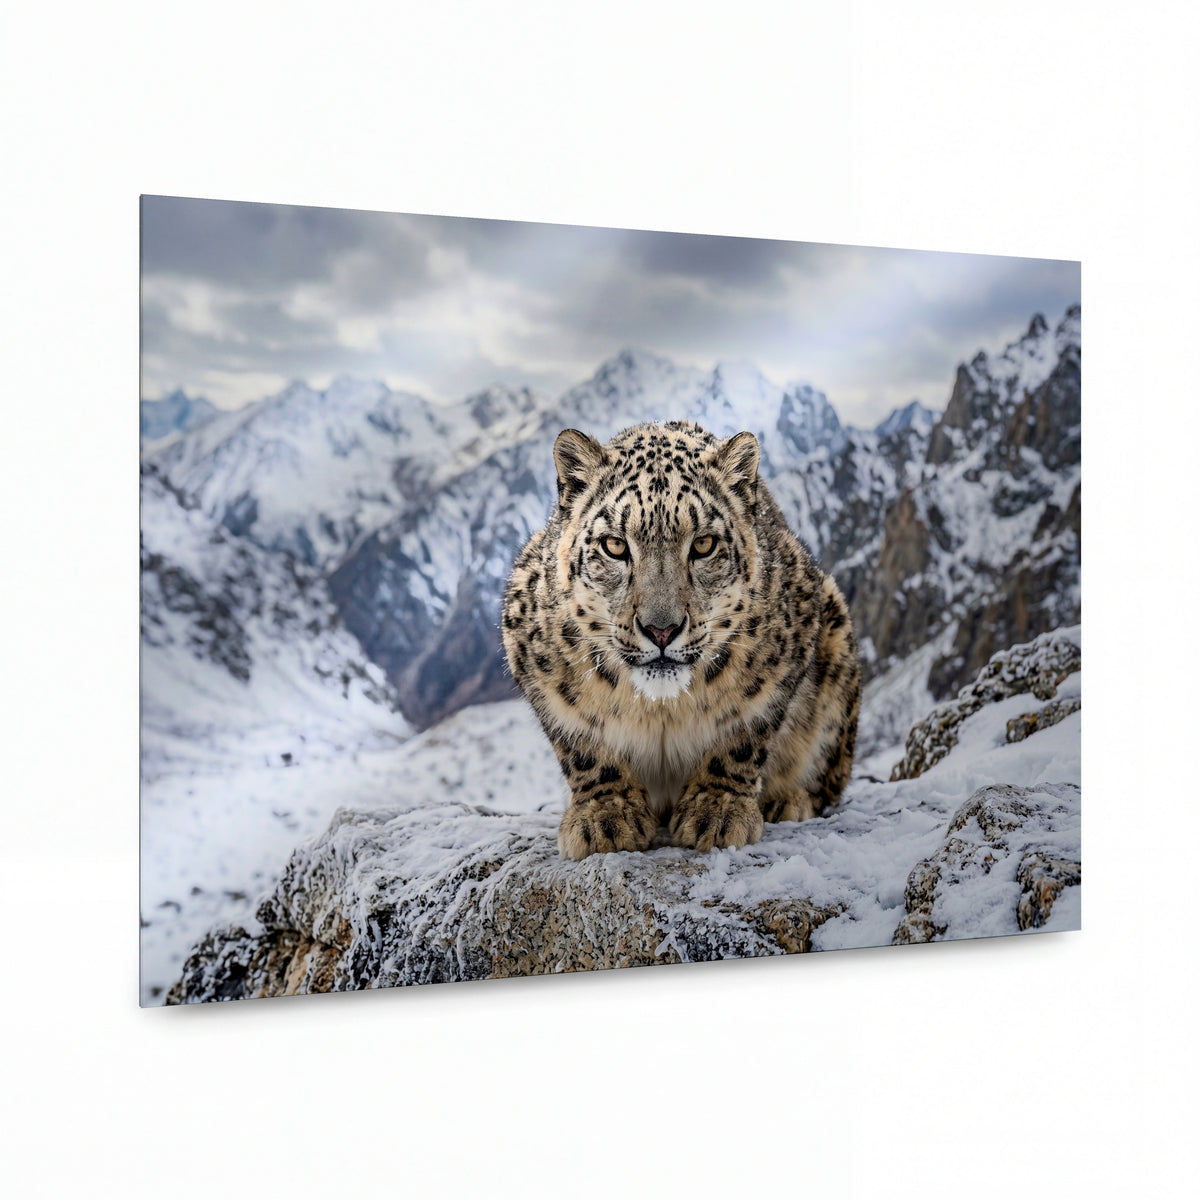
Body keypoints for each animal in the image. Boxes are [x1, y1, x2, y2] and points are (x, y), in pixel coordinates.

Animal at [501, 419, 860, 860]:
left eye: (704, 544)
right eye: (615, 545)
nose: (661, 629)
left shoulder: (792, 640)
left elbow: (745, 732)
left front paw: (717, 810)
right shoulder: (533, 658)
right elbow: (582, 746)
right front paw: (606, 816)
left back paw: (787, 800)